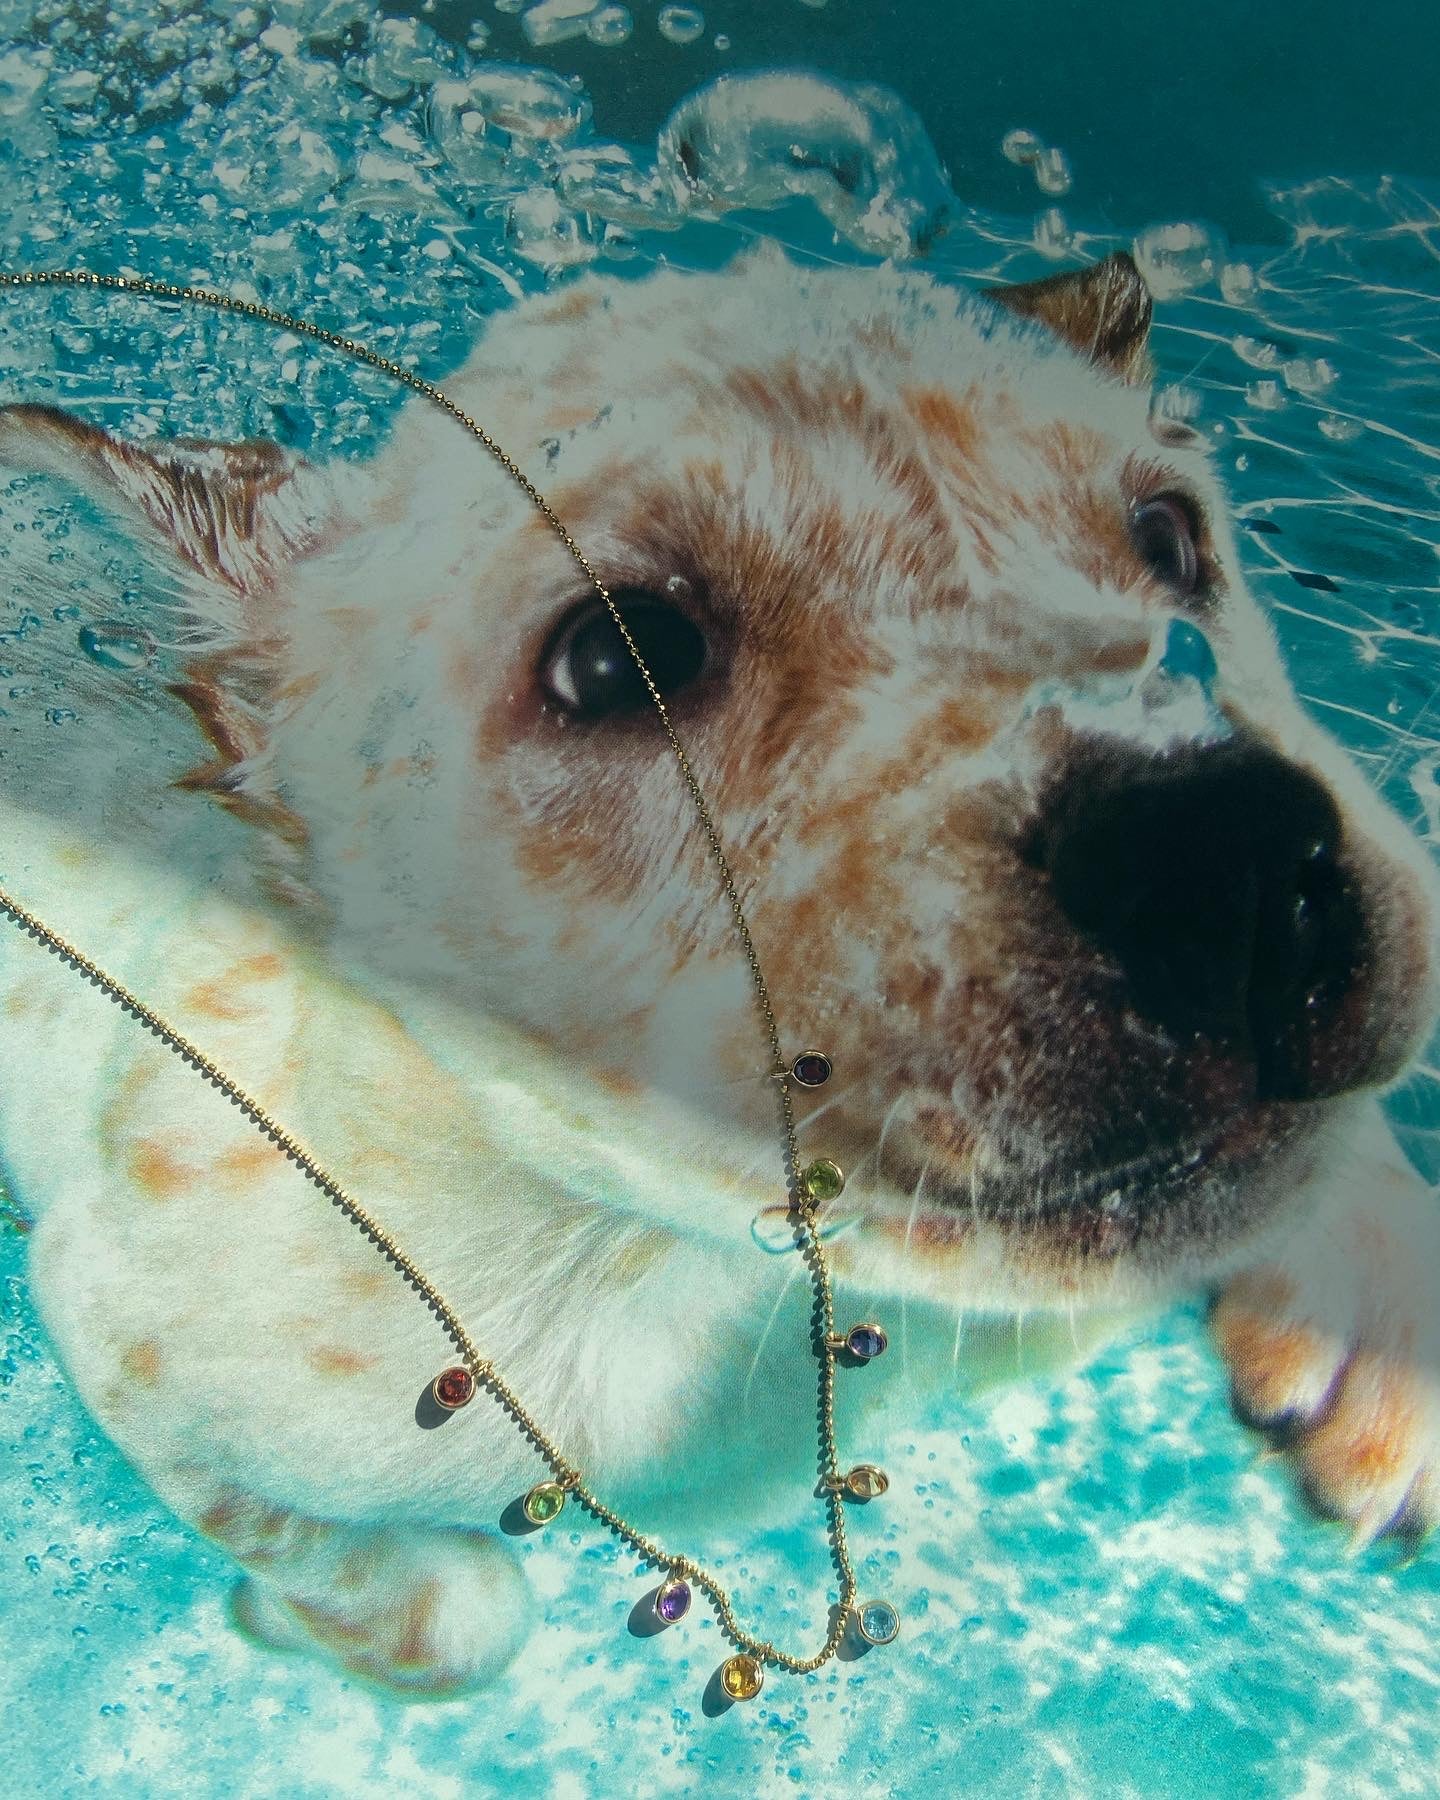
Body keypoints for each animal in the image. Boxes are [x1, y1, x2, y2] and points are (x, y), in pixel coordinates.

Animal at [2, 243, 1440, 1699]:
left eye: (1172, 538)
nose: (1226, 849)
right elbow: (450, 1618)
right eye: (613, 656)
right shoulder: (124, 1327)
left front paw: (1377, 1320)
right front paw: (299, 1622)